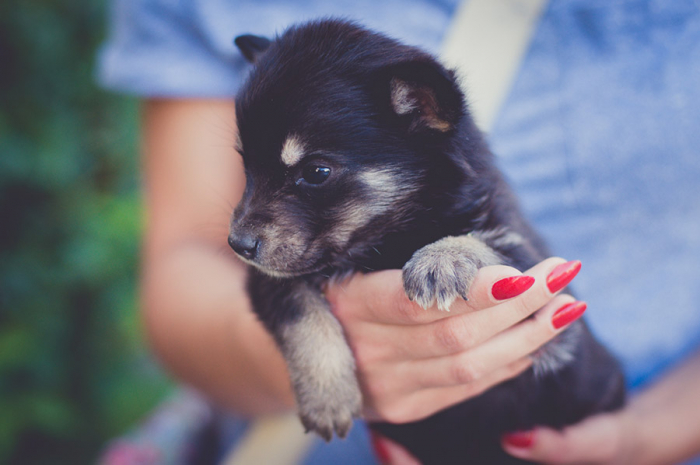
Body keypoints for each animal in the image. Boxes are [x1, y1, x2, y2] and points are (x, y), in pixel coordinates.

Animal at [228, 19, 624, 464]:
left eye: (316, 172)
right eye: (246, 166)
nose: (237, 244)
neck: (388, 239)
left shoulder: (538, 284)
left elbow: (488, 245)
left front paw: (441, 259)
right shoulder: (268, 278)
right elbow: (298, 309)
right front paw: (328, 396)